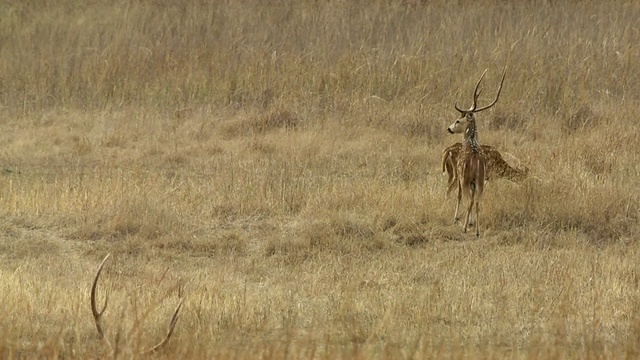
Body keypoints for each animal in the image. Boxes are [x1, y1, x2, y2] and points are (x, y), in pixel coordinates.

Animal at [444, 69, 504, 236]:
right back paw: (477, 231)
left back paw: (464, 228)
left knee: (469, 200)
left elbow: (460, 197)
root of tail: (476, 162)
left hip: (466, 178)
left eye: (458, 120)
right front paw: (471, 223)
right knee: (477, 200)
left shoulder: (461, 176)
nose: (449, 128)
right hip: (480, 180)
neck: (471, 142)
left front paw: (459, 220)